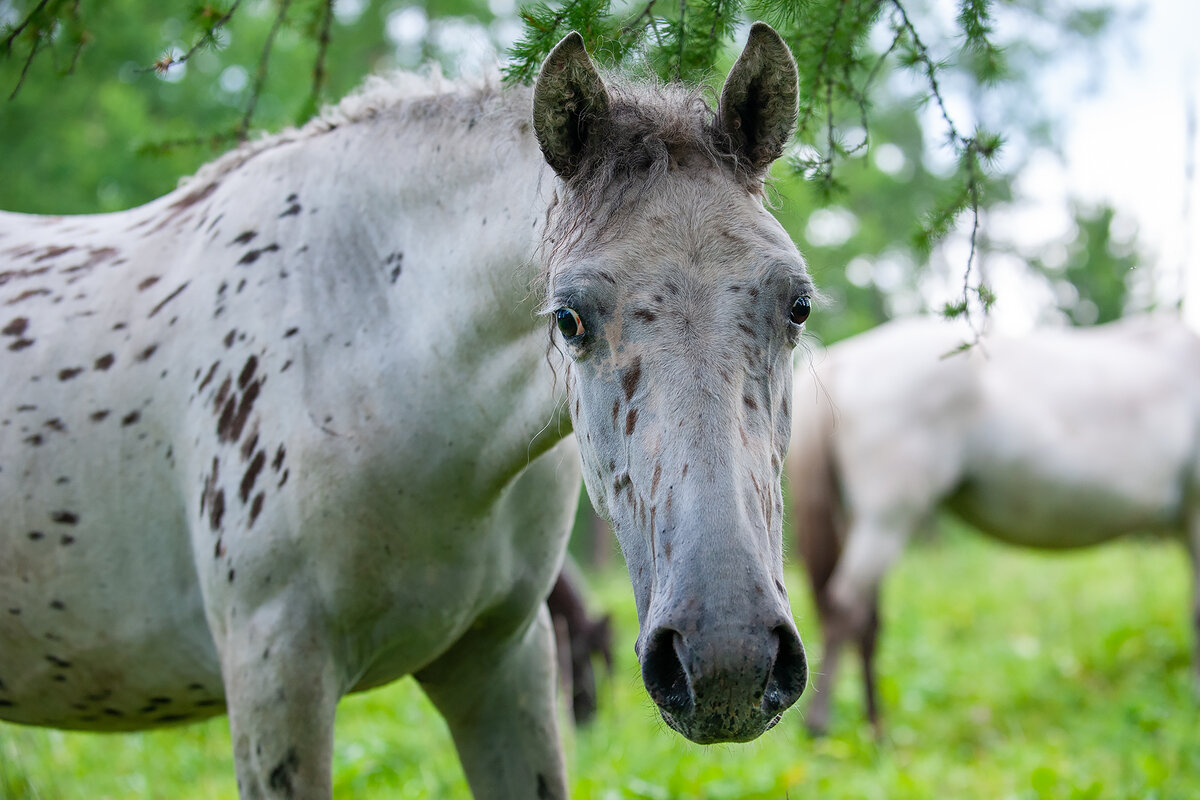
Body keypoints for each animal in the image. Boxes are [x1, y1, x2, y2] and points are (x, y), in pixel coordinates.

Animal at [787, 314, 1200, 738]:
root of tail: (846, 361)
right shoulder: (1194, 518)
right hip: (887, 519)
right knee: (845, 608)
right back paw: (821, 725)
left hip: (865, 522)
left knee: (866, 620)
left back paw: (877, 730)